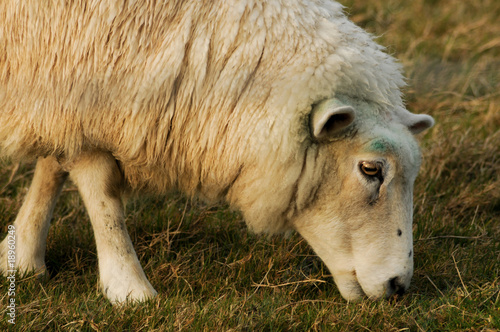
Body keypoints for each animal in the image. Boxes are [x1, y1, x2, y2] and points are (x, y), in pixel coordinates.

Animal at [0, 0, 434, 304]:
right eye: (371, 169)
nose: (398, 286)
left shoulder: (57, 82)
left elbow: (53, 165)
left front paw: (21, 257)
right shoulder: (79, 83)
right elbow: (100, 186)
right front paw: (128, 287)